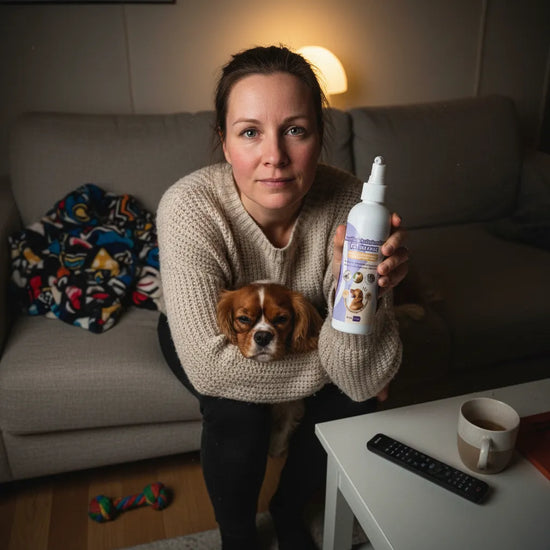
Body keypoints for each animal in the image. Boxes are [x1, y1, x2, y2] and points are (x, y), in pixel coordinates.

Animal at [216, 281, 322, 456]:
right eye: (243, 319)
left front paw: (275, 449)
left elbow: (281, 432)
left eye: (281, 318)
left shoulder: (291, 406)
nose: (263, 337)